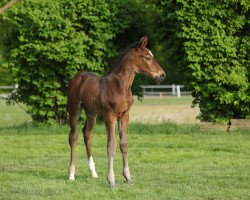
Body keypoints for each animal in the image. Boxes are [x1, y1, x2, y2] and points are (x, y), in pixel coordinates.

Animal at [66, 36, 166, 188]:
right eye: (148, 57)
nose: (162, 75)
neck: (120, 86)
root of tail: (76, 77)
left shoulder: (124, 115)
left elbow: (123, 144)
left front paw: (128, 176)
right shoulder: (110, 116)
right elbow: (111, 145)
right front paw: (111, 180)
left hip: (92, 113)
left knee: (87, 134)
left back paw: (93, 173)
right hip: (74, 110)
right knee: (73, 137)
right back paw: (71, 174)